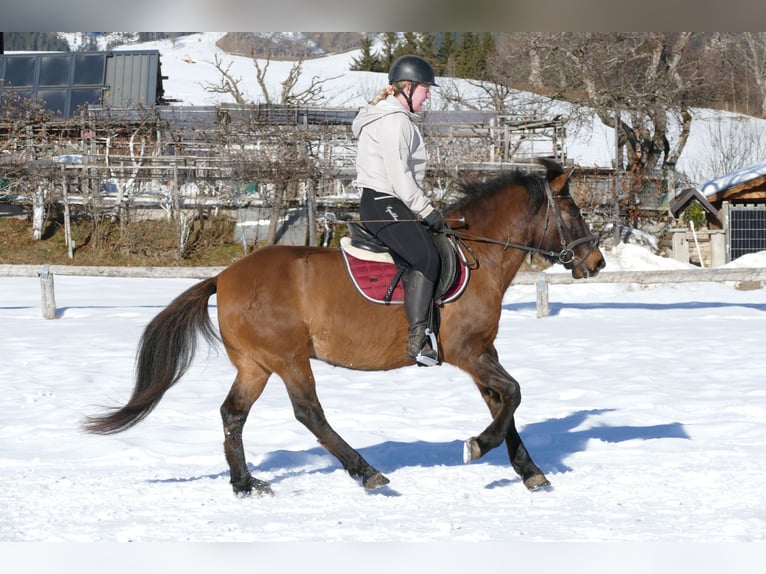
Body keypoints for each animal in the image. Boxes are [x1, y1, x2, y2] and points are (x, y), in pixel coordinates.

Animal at [84, 159, 608, 500]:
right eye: (573, 211)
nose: (597, 262)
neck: (480, 252)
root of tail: (224, 276)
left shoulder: (482, 353)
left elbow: (505, 404)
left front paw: (530, 472)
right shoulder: (467, 353)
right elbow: (513, 395)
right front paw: (477, 446)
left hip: (255, 363)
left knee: (233, 414)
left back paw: (244, 484)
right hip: (288, 358)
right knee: (308, 413)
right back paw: (367, 472)